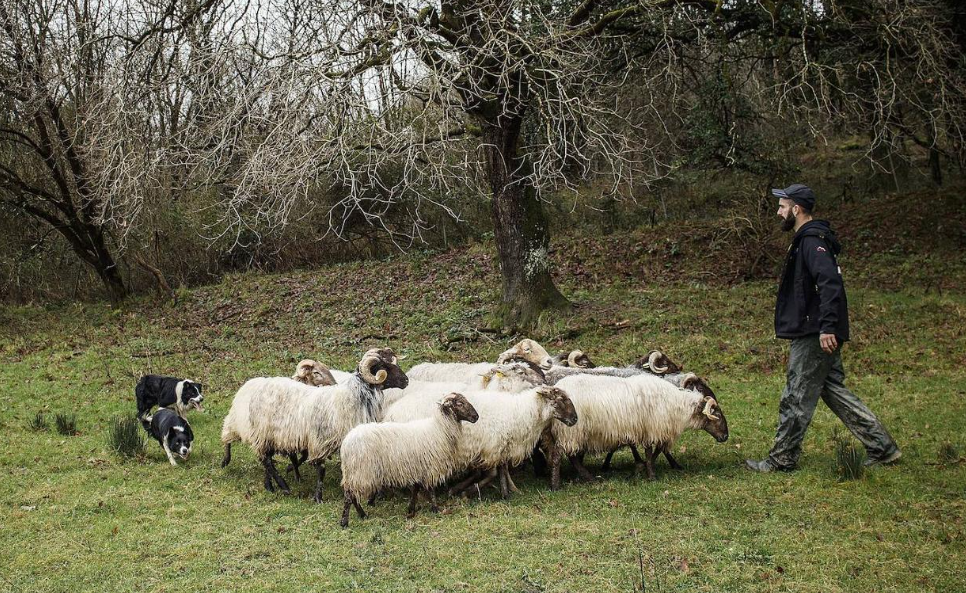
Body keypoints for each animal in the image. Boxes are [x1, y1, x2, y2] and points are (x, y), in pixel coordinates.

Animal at [220, 346, 408, 500]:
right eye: (384, 367)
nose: (406, 381)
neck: (352, 397)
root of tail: (260, 384)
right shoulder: (320, 440)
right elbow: (321, 469)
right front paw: (318, 496)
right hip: (261, 432)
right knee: (263, 459)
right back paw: (282, 485)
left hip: (271, 437)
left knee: (266, 459)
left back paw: (271, 485)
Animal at [340, 394, 480, 528]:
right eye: (460, 403)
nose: (476, 417)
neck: (439, 429)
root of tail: (346, 443)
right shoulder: (431, 467)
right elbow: (431, 490)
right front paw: (435, 508)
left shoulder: (418, 468)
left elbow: (415, 489)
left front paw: (411, 509)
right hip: (361, 471)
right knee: (350, 496)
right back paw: (345, 522)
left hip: (354, 472)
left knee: (352, 495)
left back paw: (361, 515)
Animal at [382, 386, 580, 498]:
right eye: (561, 399)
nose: (575, 419)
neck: (522, 412)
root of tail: (391, 412)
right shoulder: (491, 447)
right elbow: (492, 473)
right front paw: (463, 492)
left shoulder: (500, 446)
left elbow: (502, 470)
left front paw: (508, 492)